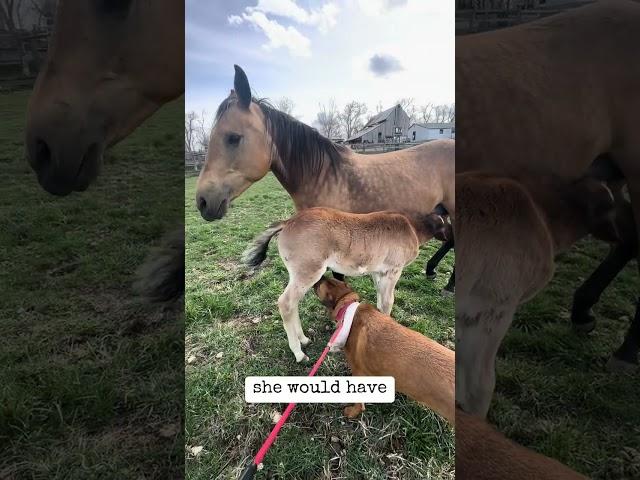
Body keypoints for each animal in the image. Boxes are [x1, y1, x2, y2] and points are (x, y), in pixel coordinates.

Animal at [245, 206, 450, 360]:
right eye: (449, 222)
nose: (450, 240)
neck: (411, 228)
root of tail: (288, 222)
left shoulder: (378, 272)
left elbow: (380, 298)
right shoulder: (393, 271)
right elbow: (388, 302)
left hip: (298, 275)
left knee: (293, 304)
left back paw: (304, 339)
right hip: (308, 272)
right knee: (285, 303)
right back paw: (298, 352)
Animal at [312, 278, 452, 424]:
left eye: (321, 285)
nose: (318, 278)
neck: (349, 310)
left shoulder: (358, 372)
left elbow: (359, 403)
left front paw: (353, 412)